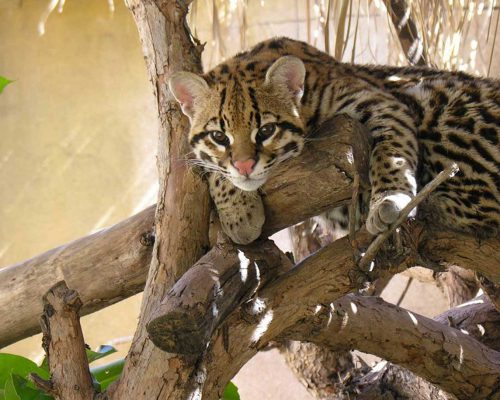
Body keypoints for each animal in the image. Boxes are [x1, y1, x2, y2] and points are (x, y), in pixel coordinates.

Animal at [170, 37, 498, 244]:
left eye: (266, 130)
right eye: (218, 136)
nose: (245, 166)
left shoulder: (380, 102)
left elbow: (391, 152)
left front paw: (390, 199)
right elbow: (210, 167)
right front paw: (238, 211)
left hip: (431, 97)